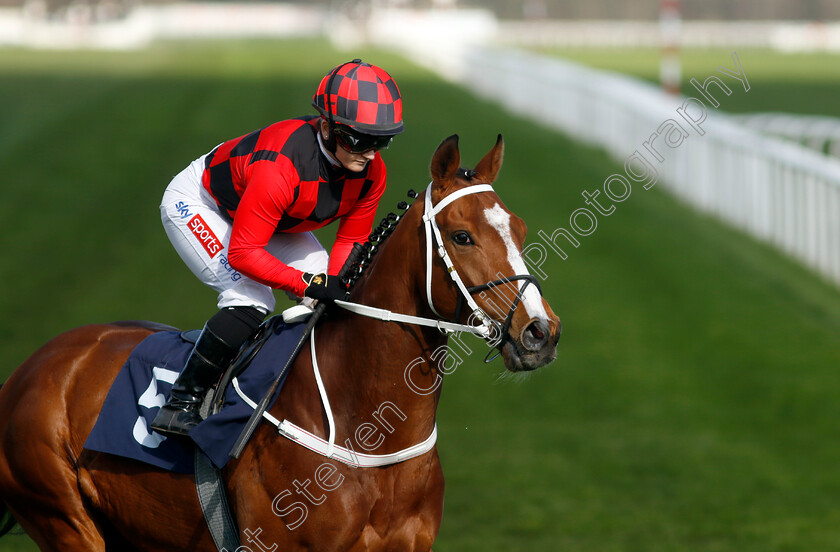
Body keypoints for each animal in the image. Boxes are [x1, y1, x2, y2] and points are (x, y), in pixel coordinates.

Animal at [1, 135, 564, 552]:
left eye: (519, 228)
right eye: (462, 236)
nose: (540, 332)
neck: (367, 432)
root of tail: (30, 368)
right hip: (62, 518)